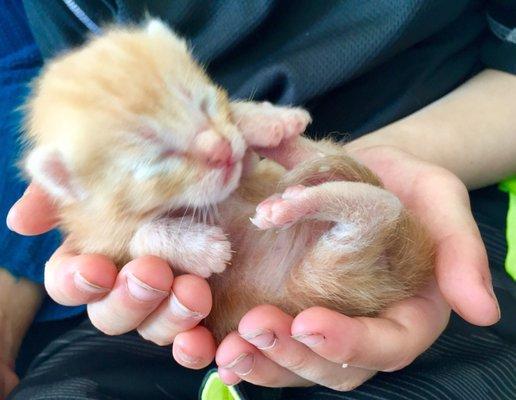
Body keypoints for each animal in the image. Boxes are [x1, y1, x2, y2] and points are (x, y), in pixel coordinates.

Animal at [22, 19, 434, 340]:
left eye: (204, 104)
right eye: (158, 159)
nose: (222, 151)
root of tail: (407, 267)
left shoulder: (245, 167)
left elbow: (242, 142)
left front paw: (260, 121)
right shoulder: (100, 244)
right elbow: (141, 239)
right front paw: (202, 249)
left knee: (364, 193)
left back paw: (285, 157)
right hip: (325, 277)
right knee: (378, 209)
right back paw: (289, 206)